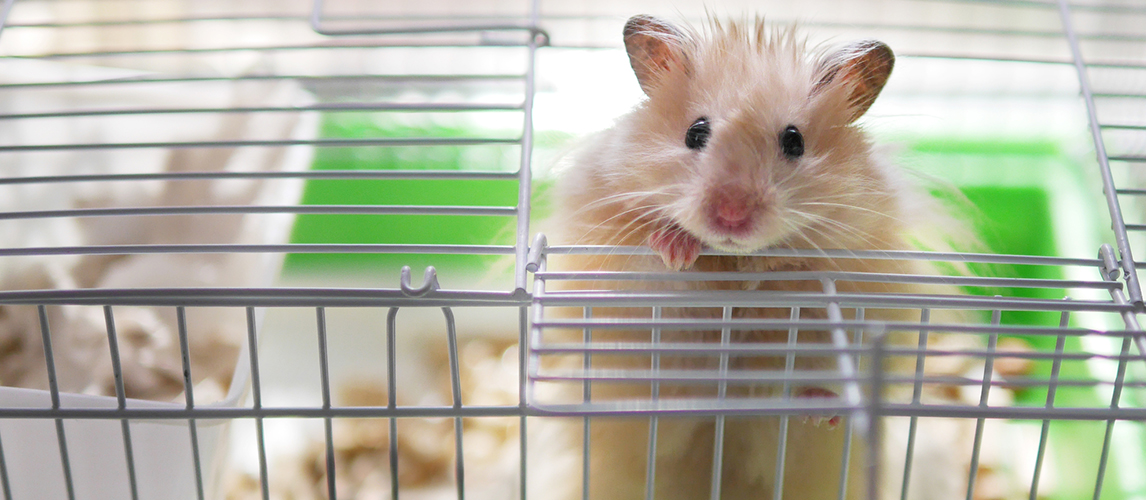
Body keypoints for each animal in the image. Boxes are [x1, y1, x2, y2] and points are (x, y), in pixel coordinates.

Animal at [531, 13, 980, 499]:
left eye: (794, 141)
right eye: (695, 132)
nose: (731, 215)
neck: (728, 262)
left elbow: (821, 342)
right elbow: (658, 271)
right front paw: (676, 246)